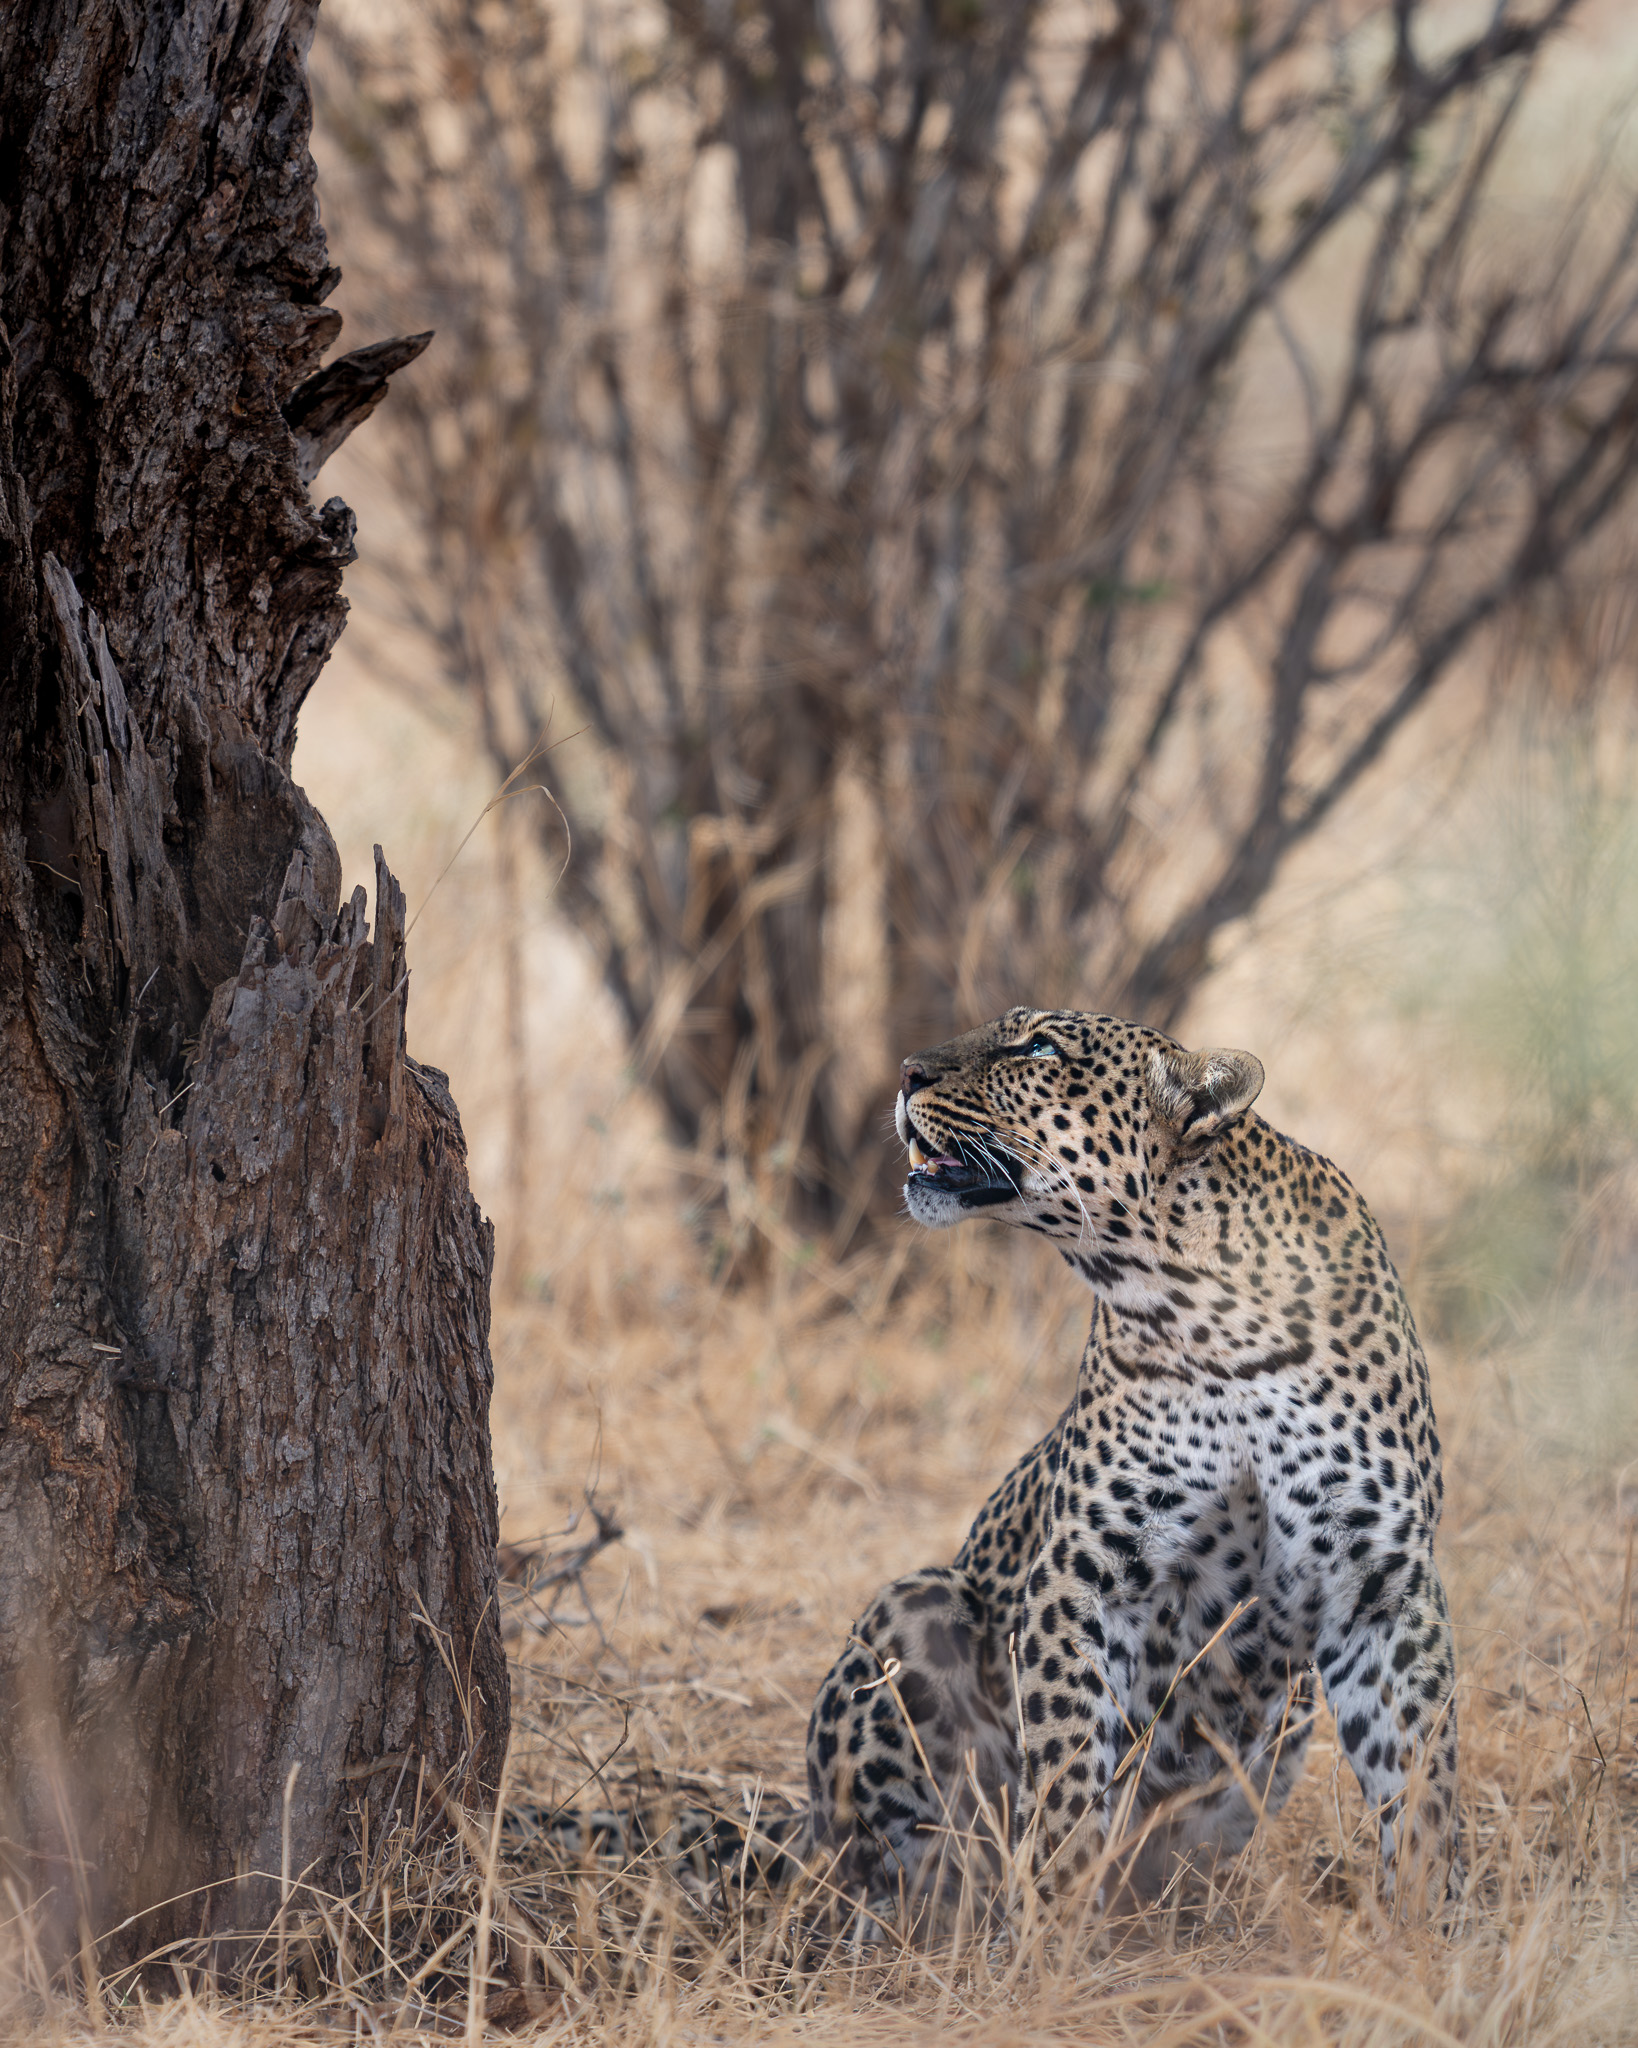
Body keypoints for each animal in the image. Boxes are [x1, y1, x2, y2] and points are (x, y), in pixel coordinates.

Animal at [798, 1007, 1461, 1917]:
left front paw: (1433, 1927)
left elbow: (1422, 1778)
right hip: (915, 1602)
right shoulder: (1084, 1572)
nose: (905, 1073)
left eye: (1039, 1048)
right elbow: (1068, 1770)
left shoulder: (1381, 1583)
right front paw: (1051, 1924)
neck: (1210, 1316)